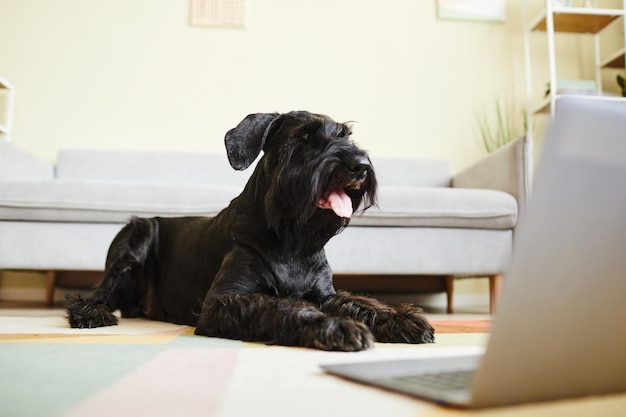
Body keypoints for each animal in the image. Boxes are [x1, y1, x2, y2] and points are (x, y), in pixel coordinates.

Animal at [64, 109, 434, 350]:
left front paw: (401, 318)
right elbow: (282, 306)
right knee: (97, 293)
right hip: (135, 238)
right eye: (304, 138)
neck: (291, 239)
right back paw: (91, 314)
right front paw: (335, 327)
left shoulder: (324, 294)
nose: (360, 165)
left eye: (345, 135)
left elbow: (360, 302)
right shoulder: (223, 302)